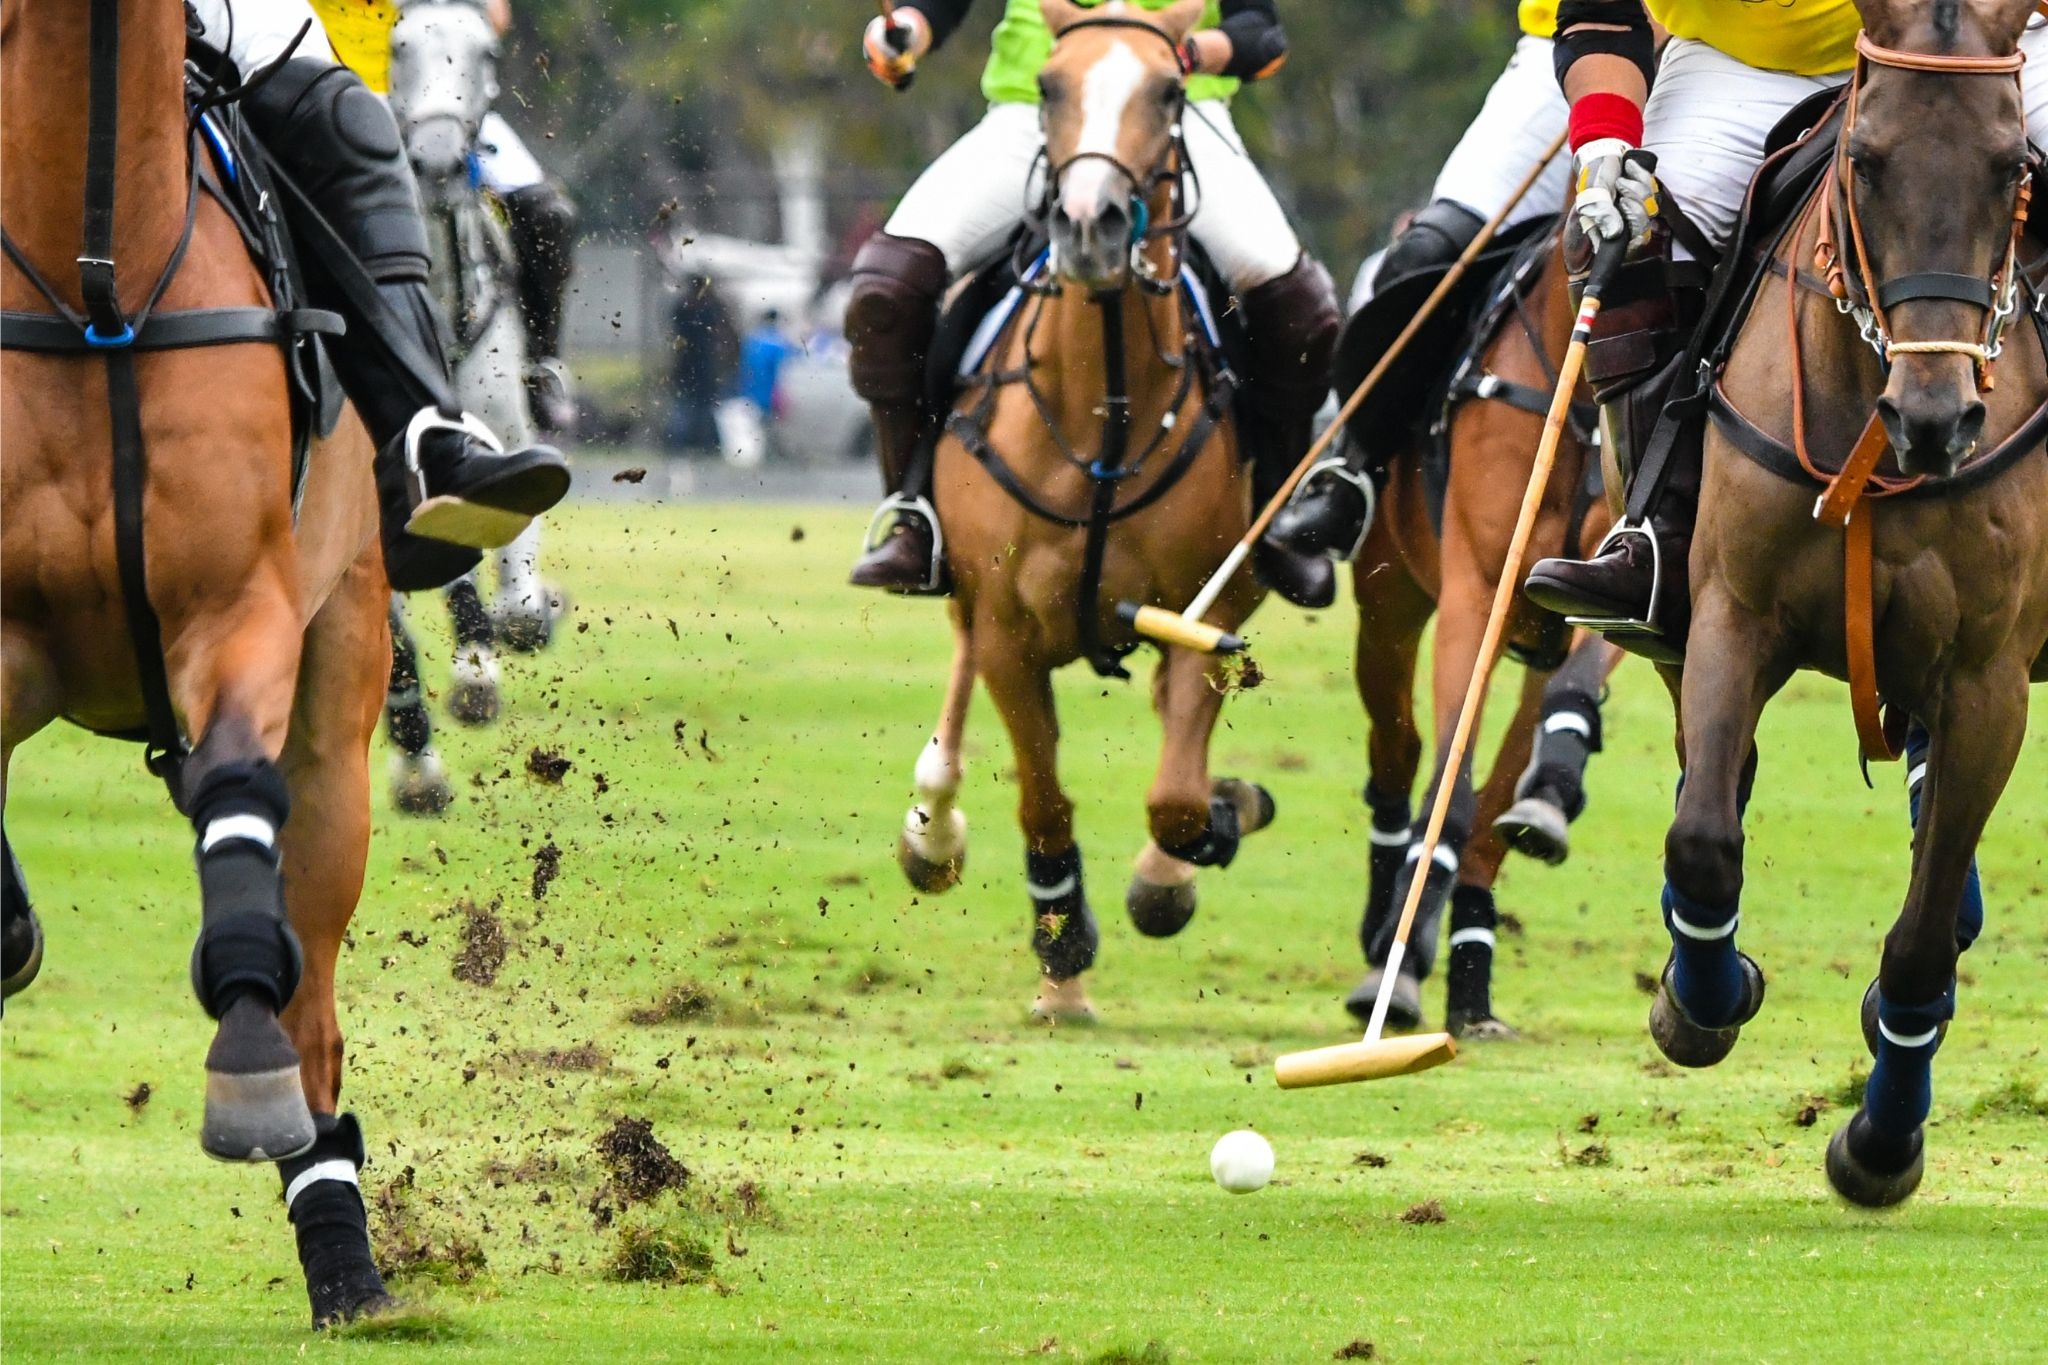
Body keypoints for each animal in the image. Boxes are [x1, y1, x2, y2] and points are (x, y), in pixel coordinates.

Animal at [2, 0, 393, 1325]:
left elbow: (234, 798)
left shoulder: (240, 611)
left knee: (315, 999)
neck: (94, 286)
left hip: (340, 684)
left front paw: (246, 1069)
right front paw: (12, 930)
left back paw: (341, 1248)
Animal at [1345, 228, 1626, 1038]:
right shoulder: (1473, 593)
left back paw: (1471, 985)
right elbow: (1452, 786)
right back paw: (1383, 933)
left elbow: (1568, 700)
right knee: (1400, 751)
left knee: (1495, 811)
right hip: (1388, 605)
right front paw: (1400, 965)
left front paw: (1552, 794)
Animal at [1651, 0, 2048, 1206]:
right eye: (1864, 161)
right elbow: (1702, 835)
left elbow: (1916, 942)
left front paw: (1879, 1141)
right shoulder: (1728, 615)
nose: (1935, 419)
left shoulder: (1988, 684)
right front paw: (1706, 996)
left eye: (2013, 165)